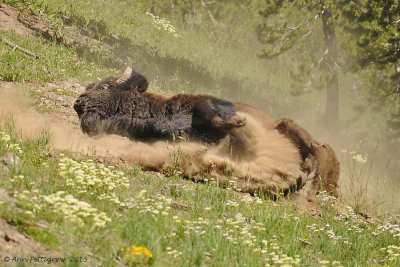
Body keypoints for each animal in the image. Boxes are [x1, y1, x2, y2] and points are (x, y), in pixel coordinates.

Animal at [73, 67, 340, 201]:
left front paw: (237, 121)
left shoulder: (201, 103)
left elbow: (212, 114)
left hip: (289, 128)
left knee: (316, 149)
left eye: (104, 86)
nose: (78, 103)